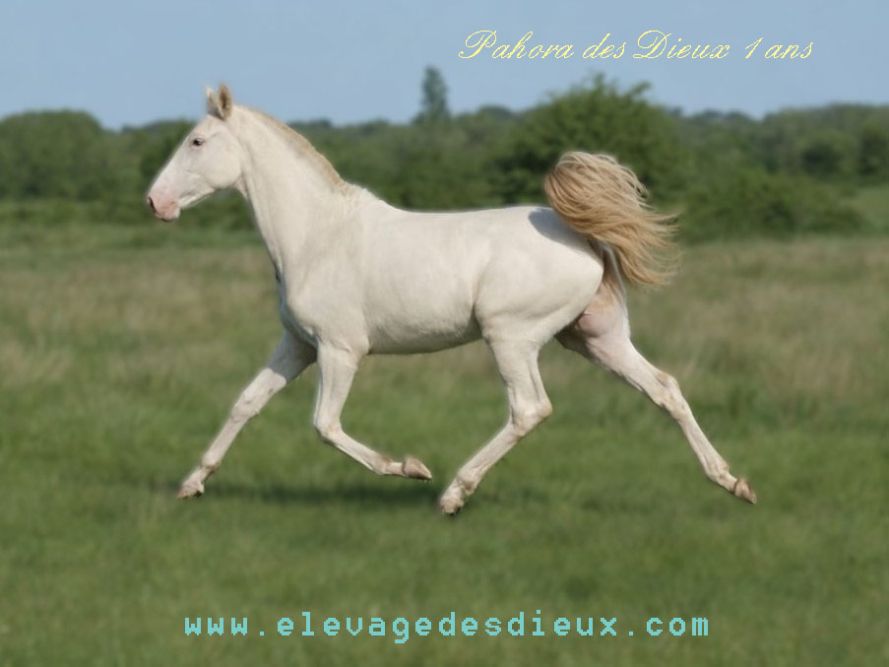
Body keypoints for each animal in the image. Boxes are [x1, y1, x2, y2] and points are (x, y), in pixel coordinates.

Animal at [146, 84, 756, 514]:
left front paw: (410, 468)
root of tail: (585, 238)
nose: (155, 202)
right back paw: (733, 482)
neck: (317, 236)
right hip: (595, 338)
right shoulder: (297, 345)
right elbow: (246, 403)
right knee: (665, 389)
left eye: (197, 141)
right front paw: (192, 484)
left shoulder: (341, 350)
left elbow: (325, 425)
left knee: (529, 408)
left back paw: (453, 494)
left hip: (511, 337)